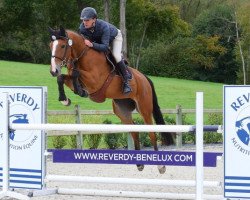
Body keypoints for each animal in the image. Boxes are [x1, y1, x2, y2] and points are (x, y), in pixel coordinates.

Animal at [48, 26, 174, 173]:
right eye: (50, 45)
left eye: (62, 46)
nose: (53, 70)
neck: (82, 56)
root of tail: (144, 78)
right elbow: (62, 78)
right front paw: (65, 99)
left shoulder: (95, 81)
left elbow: (75, 73)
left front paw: (76, 91)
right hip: (122, 110)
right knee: (134, 130)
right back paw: (139, 164)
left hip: (144, 108)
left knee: (151, 132)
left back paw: (161, 166)